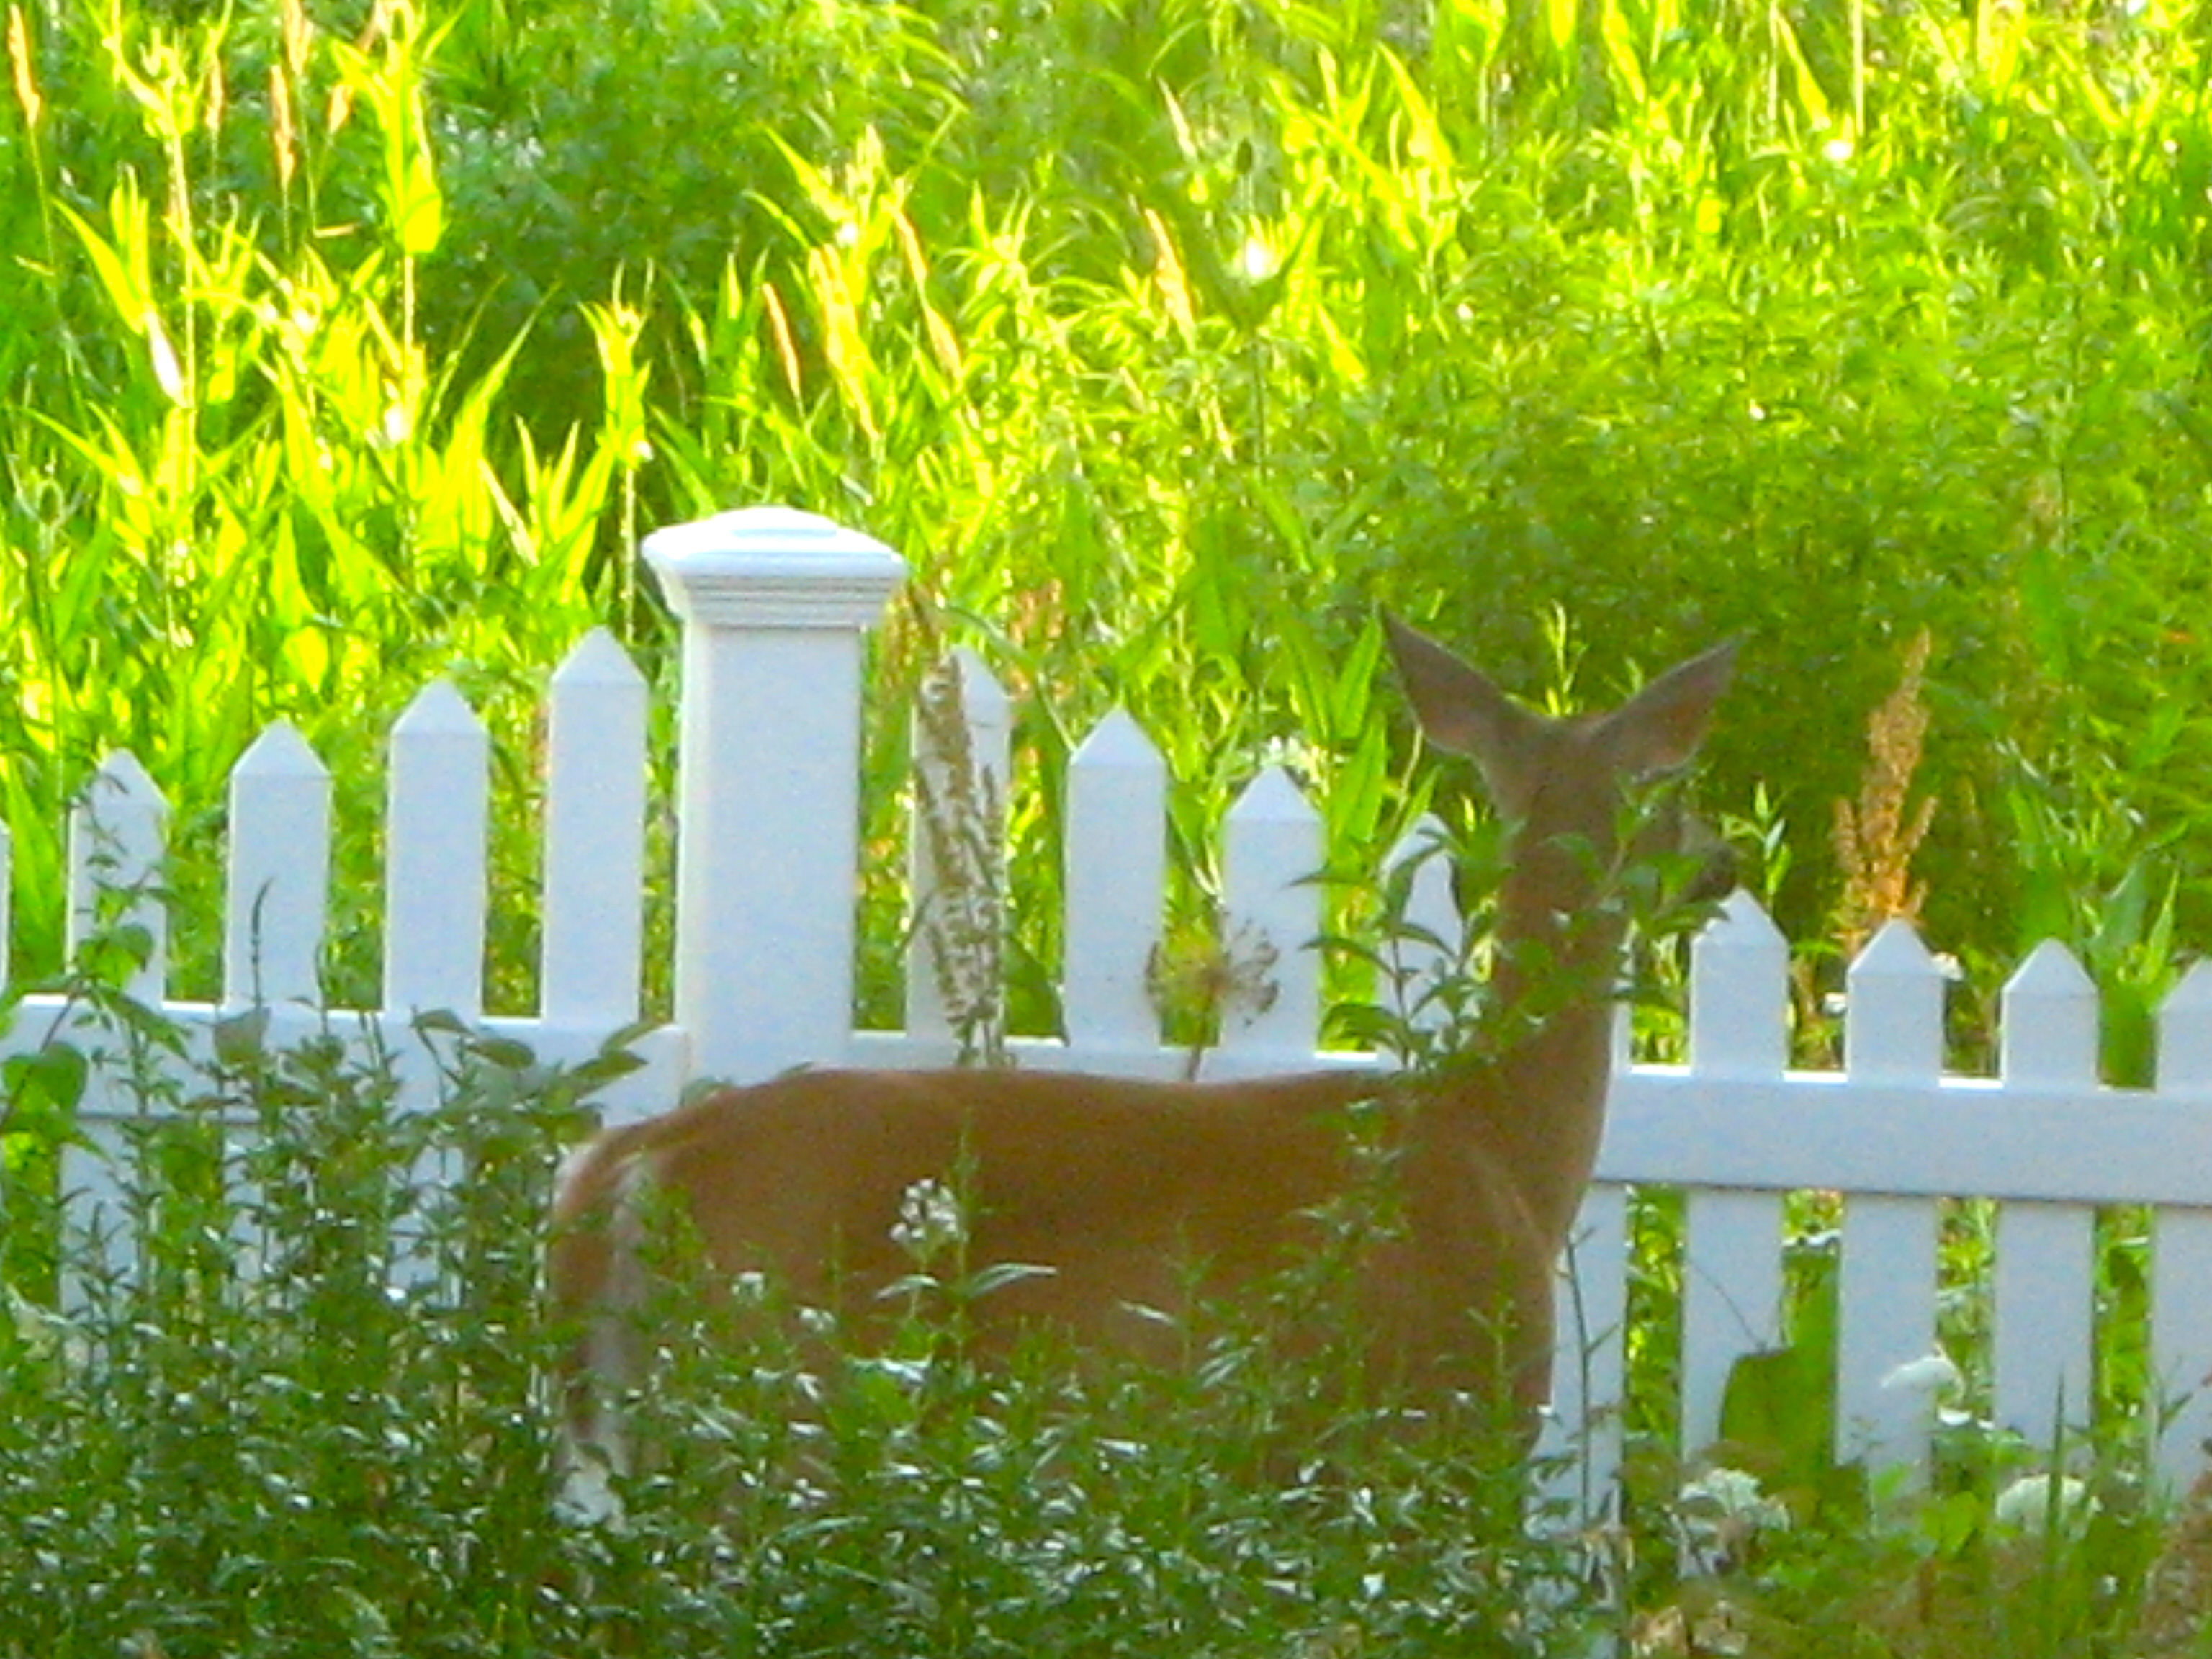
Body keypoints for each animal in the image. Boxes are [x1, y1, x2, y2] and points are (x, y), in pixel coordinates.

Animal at [544, 619, 1734, 1503]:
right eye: (1676, 791)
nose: (1723, 863)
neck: (1501, 1136)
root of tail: (641, 1161)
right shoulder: (1437, 1432)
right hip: (783, 1402)